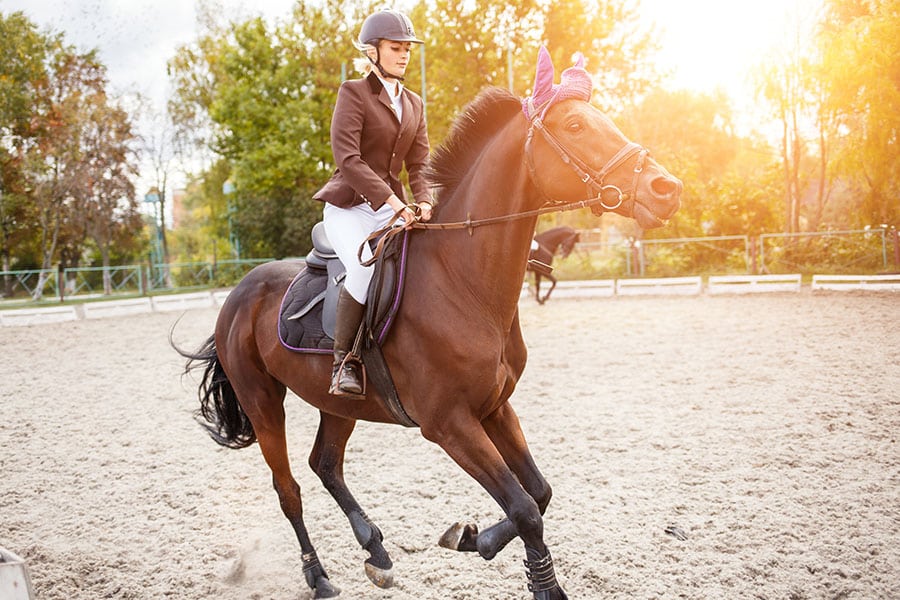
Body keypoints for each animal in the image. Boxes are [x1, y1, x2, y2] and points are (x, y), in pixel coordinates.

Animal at [178, 49, 681, 600]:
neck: (464, 281)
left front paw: (474, 539)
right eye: (574, 126)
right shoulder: (449, 424)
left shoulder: (494, 408)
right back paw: (318, 575)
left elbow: (538, 493)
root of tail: (239, 292)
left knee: (325, 464)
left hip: (337, 401)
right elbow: (526, 508)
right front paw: (533, 577)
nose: (667, 189)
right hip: (263, 401)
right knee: (288, 487)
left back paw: (375, 550)